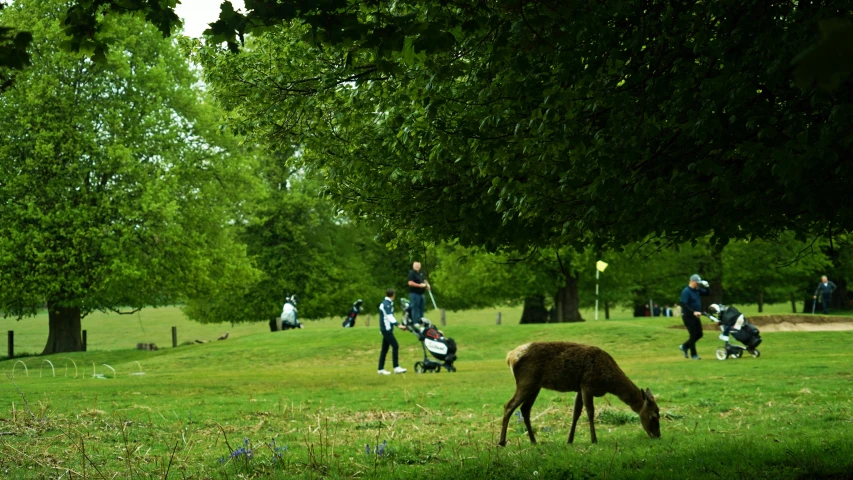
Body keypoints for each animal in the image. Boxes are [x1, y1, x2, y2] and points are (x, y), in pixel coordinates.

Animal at [500, 342, 660, 446]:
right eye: (653, 416)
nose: (658, 435)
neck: (608, 382)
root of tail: (509, 357)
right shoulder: (587, 384)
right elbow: (590, 412)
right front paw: (594, 440)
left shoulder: (579, 388)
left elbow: (576, 413)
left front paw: (569, 440)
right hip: (526, 381)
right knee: (509, 405)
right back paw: (502, 442)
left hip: (535, 386)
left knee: (525, 409)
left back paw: (534, 441)